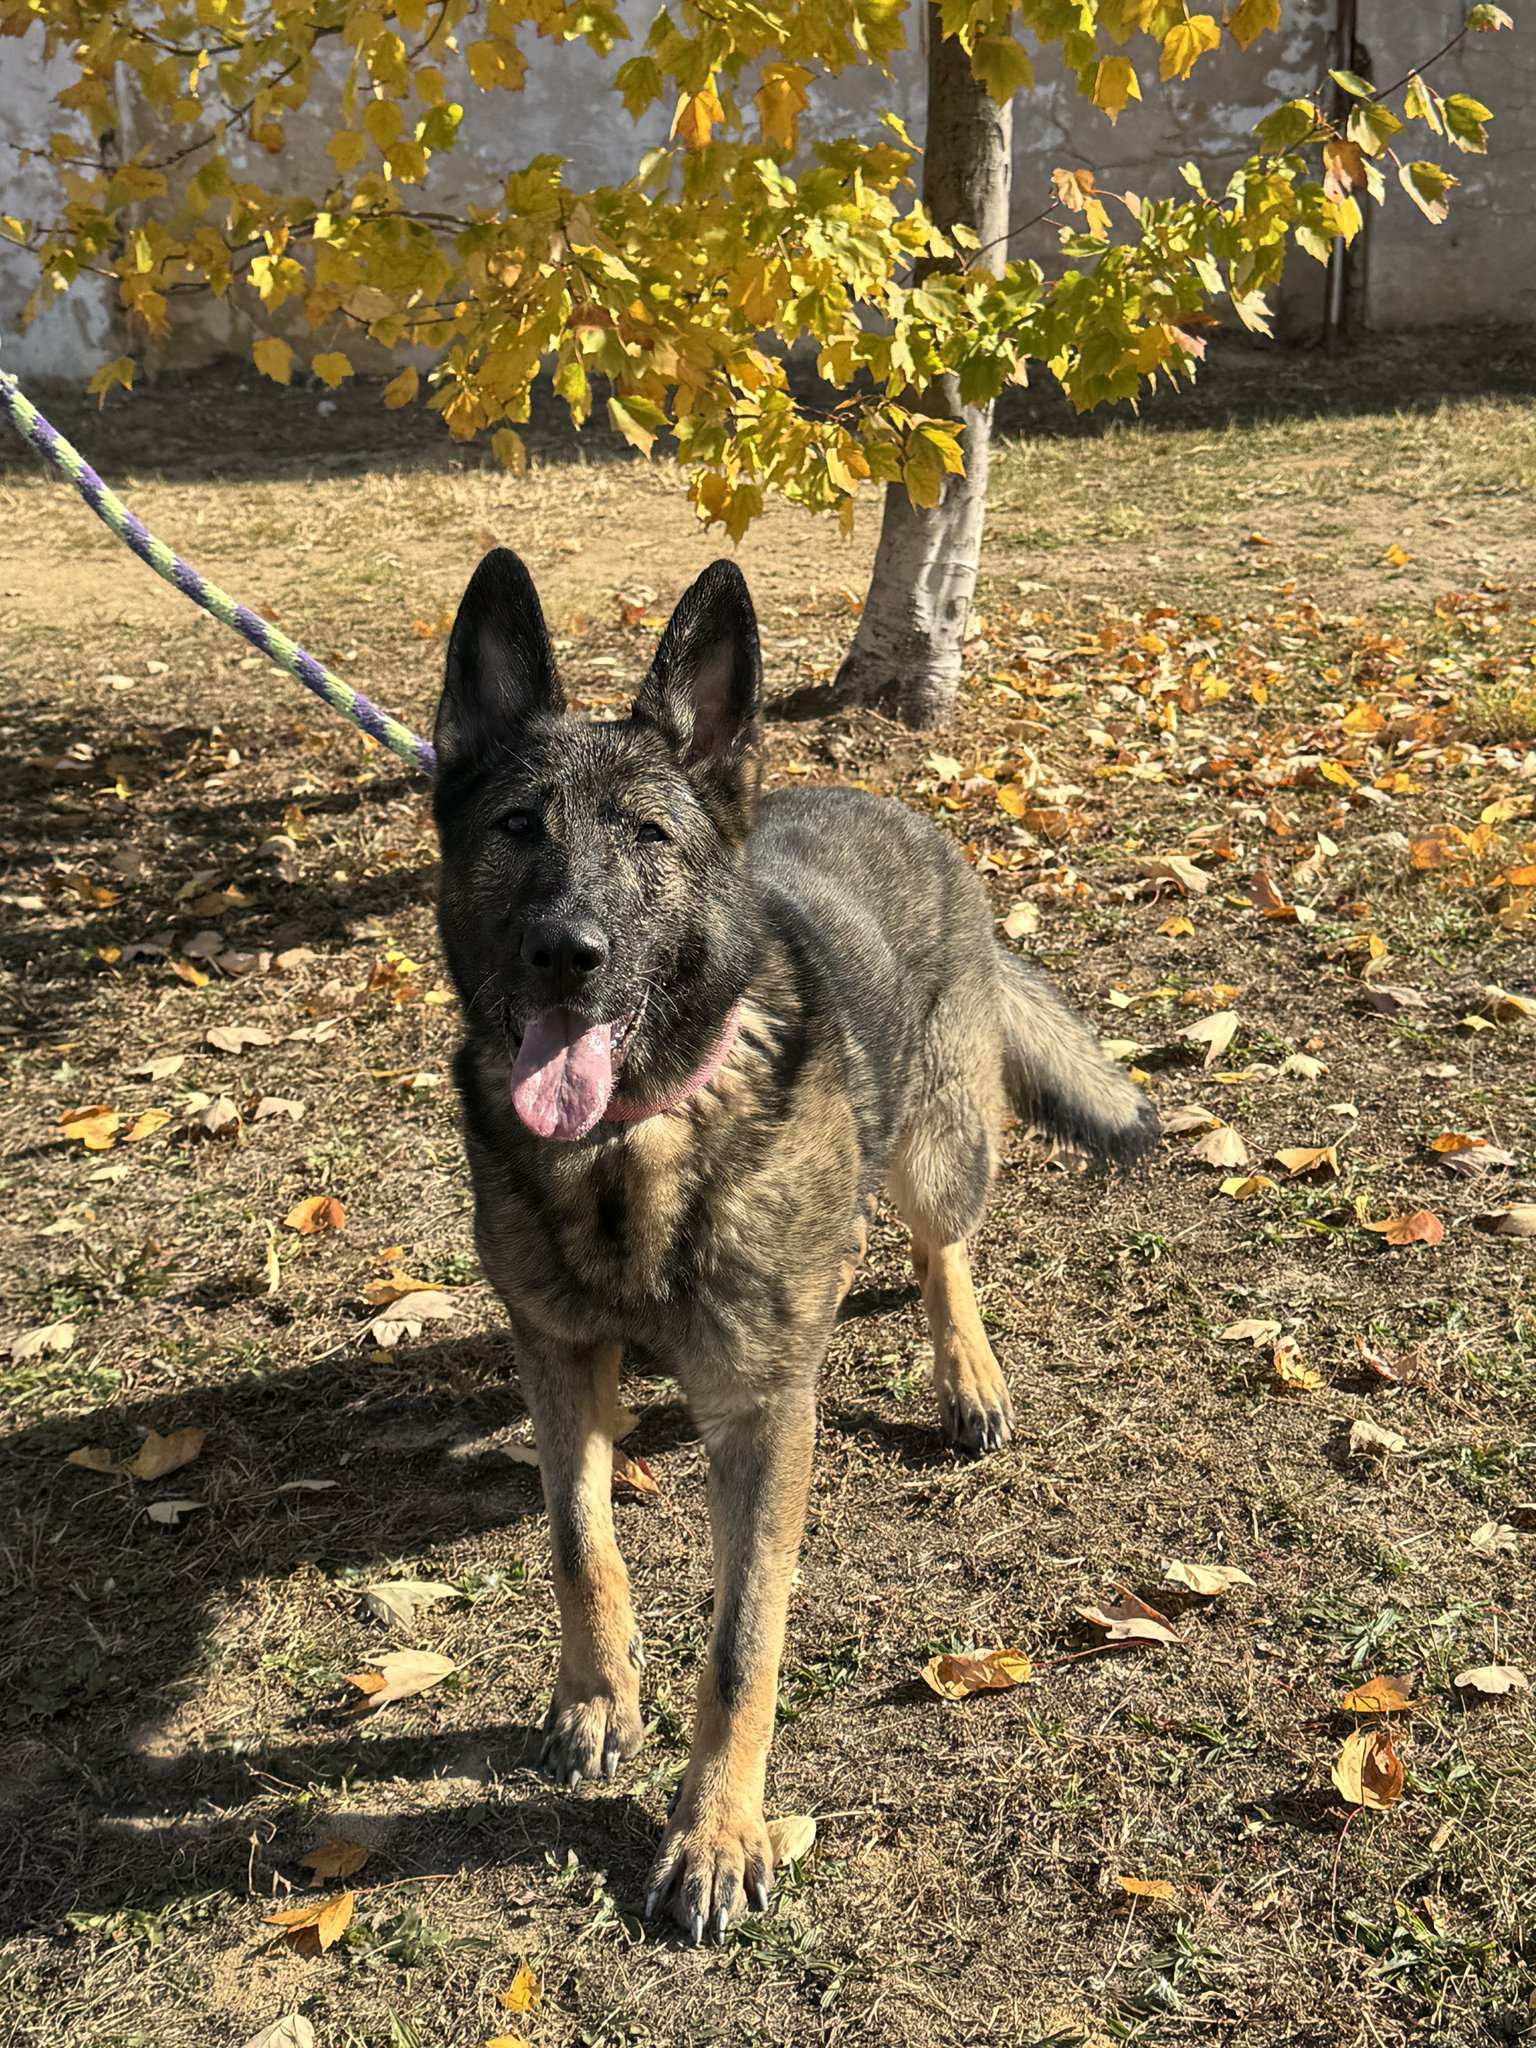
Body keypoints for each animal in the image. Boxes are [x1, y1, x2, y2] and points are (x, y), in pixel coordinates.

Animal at [430, 552, 1155, 1941]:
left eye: (647, 838)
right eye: (518, 828)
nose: (566, 952)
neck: (633, 1145)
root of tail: (889, 798)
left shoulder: (767, 1418)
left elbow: (741, 1642)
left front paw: (716, 1830)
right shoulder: (554, 1353)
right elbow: (577, 1537)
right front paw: (597, 1693)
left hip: (936, 1142)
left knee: (941, 1248)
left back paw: (966, 1368)